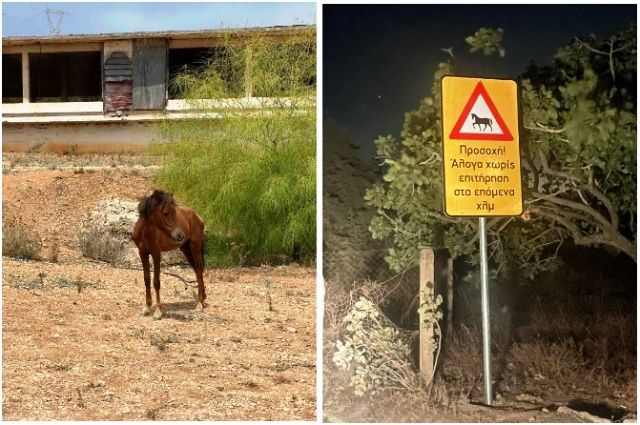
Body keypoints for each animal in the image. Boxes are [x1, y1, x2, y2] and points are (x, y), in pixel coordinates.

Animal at [132, 190, 206, 318]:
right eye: (165, 213)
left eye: (175, 212)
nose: (180, 235)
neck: (145, 233)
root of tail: (197, 216)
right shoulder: (143, 253)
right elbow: (147, 279)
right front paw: (147, 307)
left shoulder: (156, 253)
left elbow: (156, 282)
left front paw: (158, 311)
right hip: (186, 249)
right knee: (198, 271)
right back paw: (203, 299)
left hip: (194, 247)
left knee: (199, 270)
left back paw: (199, 305)